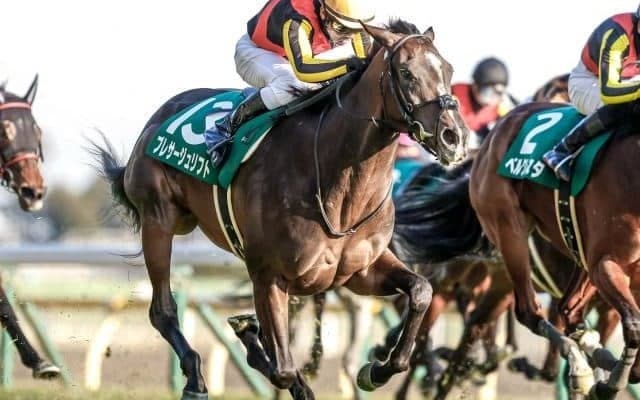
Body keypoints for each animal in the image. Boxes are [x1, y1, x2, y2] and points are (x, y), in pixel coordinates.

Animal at [93, 19, 468, 400]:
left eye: (448, 70)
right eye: (406, 73)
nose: (454, 137)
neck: (339, 186)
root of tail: (157, 119)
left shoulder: (360, 271)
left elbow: (421, 292)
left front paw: (376, 370)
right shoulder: (269, 274)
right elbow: (283, 368)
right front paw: (253, 340)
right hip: (159, 221)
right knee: (162, 310)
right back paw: (196, 379)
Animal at [470, 98, 640, 398]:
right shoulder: (606, 264)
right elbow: (634, 325)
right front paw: (613, 382)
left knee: (569, 309)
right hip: (508, 229)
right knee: (530, 311)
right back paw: (583, 368)